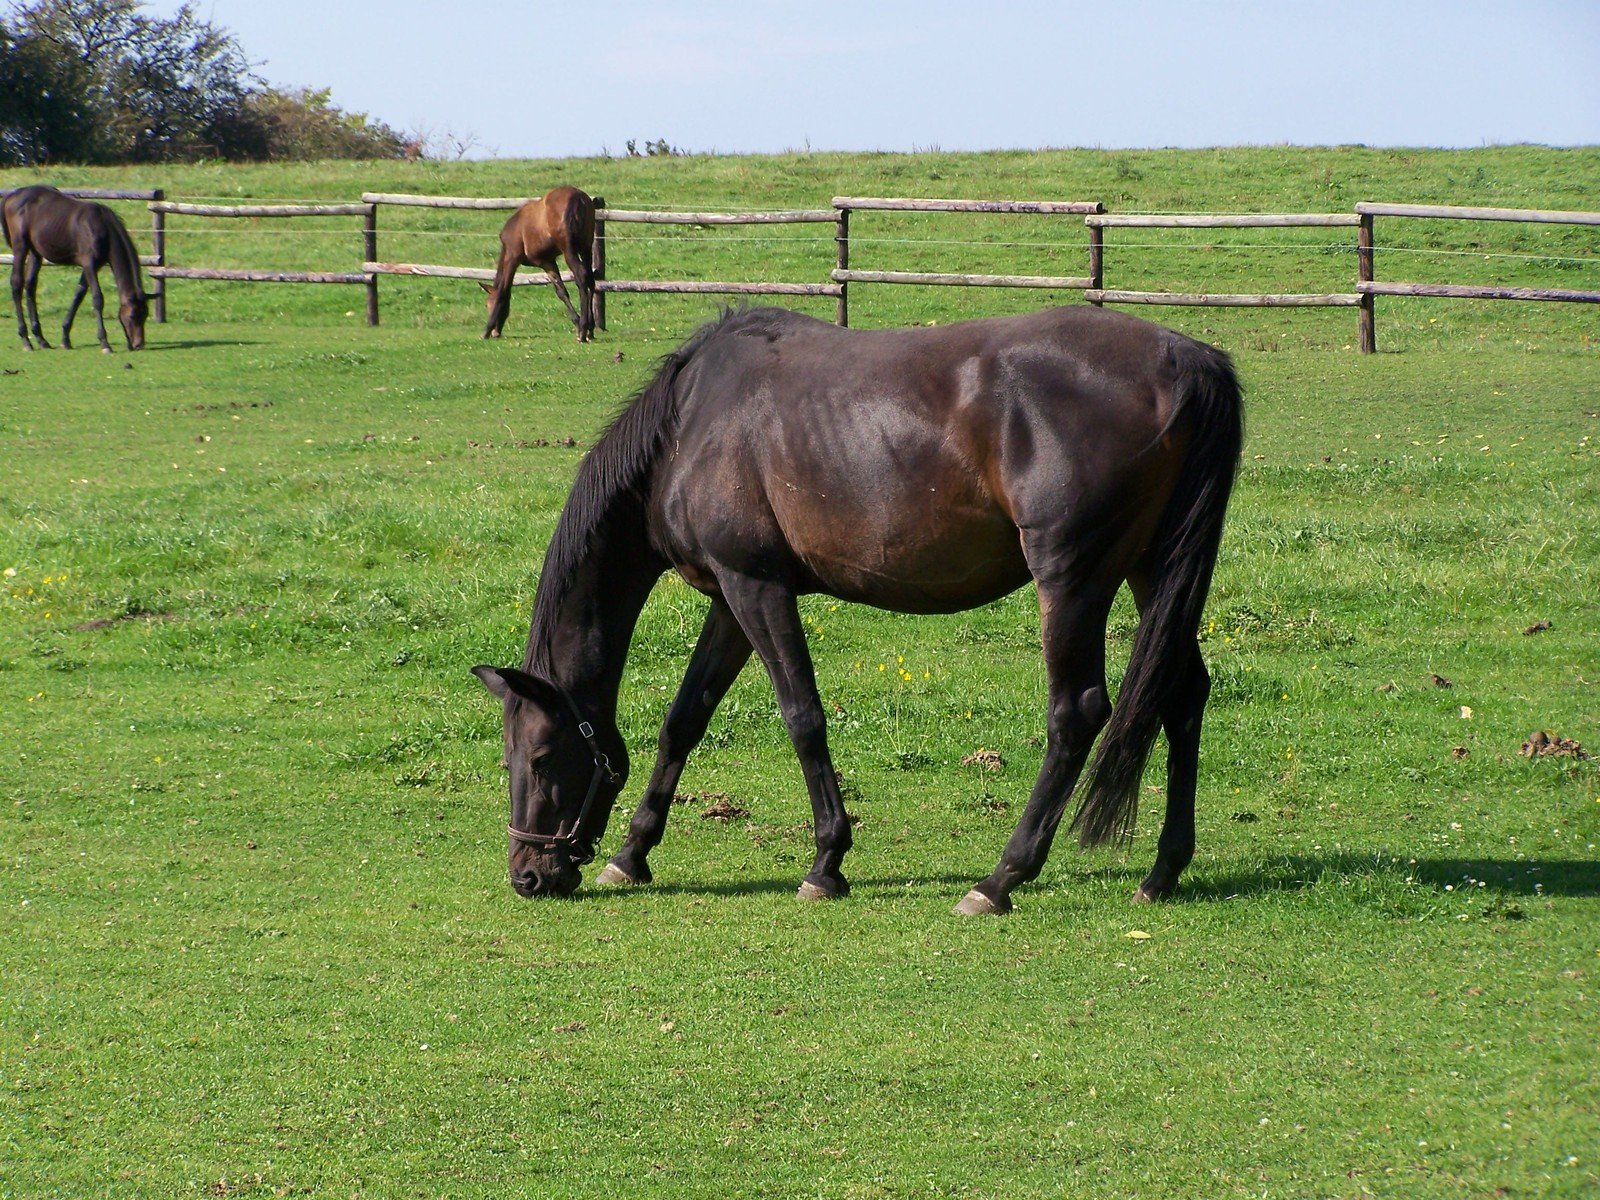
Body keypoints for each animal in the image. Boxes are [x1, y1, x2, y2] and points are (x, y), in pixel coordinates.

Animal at [3, 185, 149, 352]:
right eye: (132, 316)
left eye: (145, 315)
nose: (139, 344)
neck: (101, 227)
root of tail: (12, 195)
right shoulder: (89, 264)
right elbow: (97, 298)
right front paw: (104, 343)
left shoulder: (93, 266)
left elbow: (78, 295)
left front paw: (65, 339)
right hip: (21, 246)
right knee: (16, 284)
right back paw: (26, 340)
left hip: (35, 252)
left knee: (30, 287)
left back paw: (41, 339)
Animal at [473, 304, 1243, 915]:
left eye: (541, 757)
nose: (528, 876)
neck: (690, 426)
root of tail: (1186, 358)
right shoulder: (730, 598)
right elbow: (684, 720)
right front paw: (631, 855)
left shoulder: (757, 588)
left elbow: (803, 719)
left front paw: (826, 863)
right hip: (1152, 571)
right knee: (1183, 694)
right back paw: (1163, 871)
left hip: (1073, 580)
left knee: (1076, 714)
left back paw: (1000, 879)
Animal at [481, 186, 597, 343]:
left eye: (488, 305)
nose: (495, 332)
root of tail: (578, 198)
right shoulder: (547, 262)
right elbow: (561, 291)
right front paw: (576, 322)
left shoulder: (512, 257)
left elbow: (503, 291)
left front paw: (486, 330)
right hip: (586, 248)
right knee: (591, 279)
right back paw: (590, 328)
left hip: (569, 250)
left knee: (581, 277)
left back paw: (584, 329)